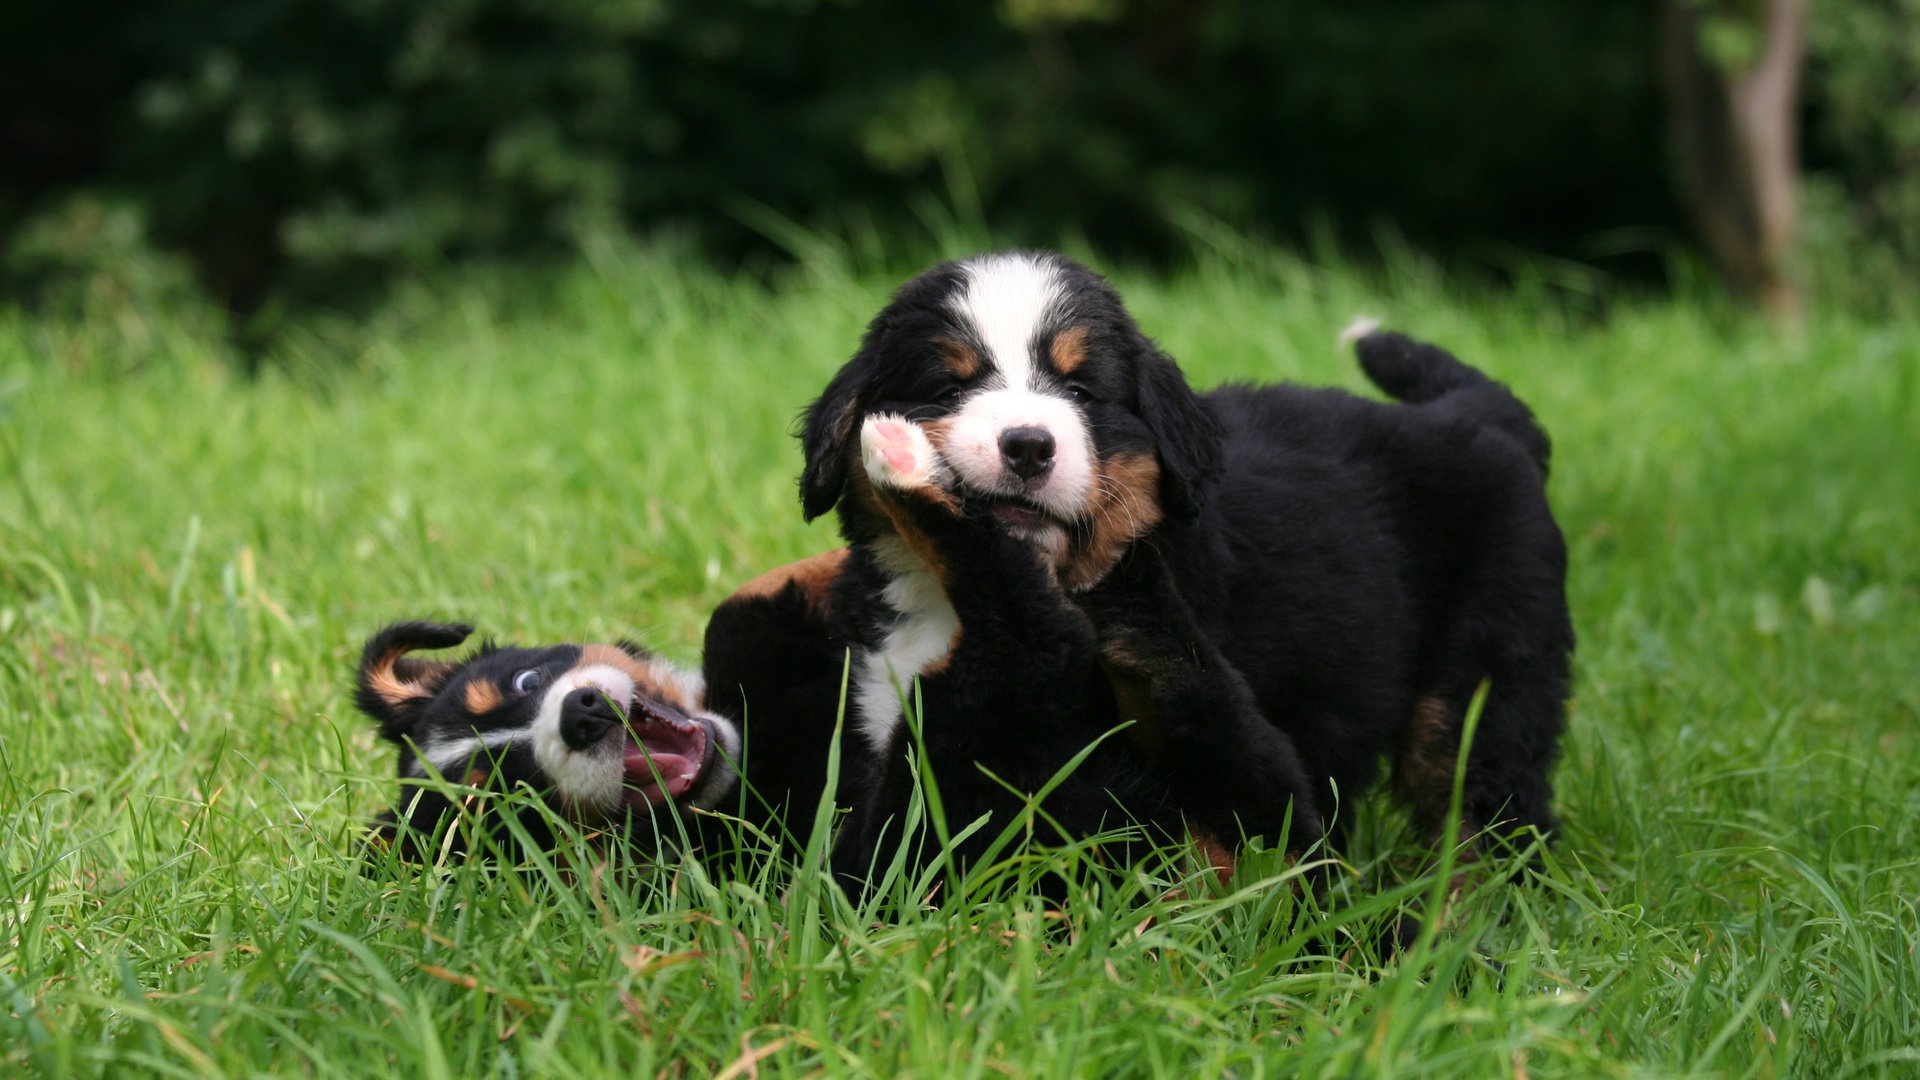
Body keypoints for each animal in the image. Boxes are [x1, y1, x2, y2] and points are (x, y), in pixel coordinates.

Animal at [798, 249, 1574, 876]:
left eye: (1081, 392)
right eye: (949, 388)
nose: (1027, 446)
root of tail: (1475, 413)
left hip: (1490, 668)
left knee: (1488, 809)